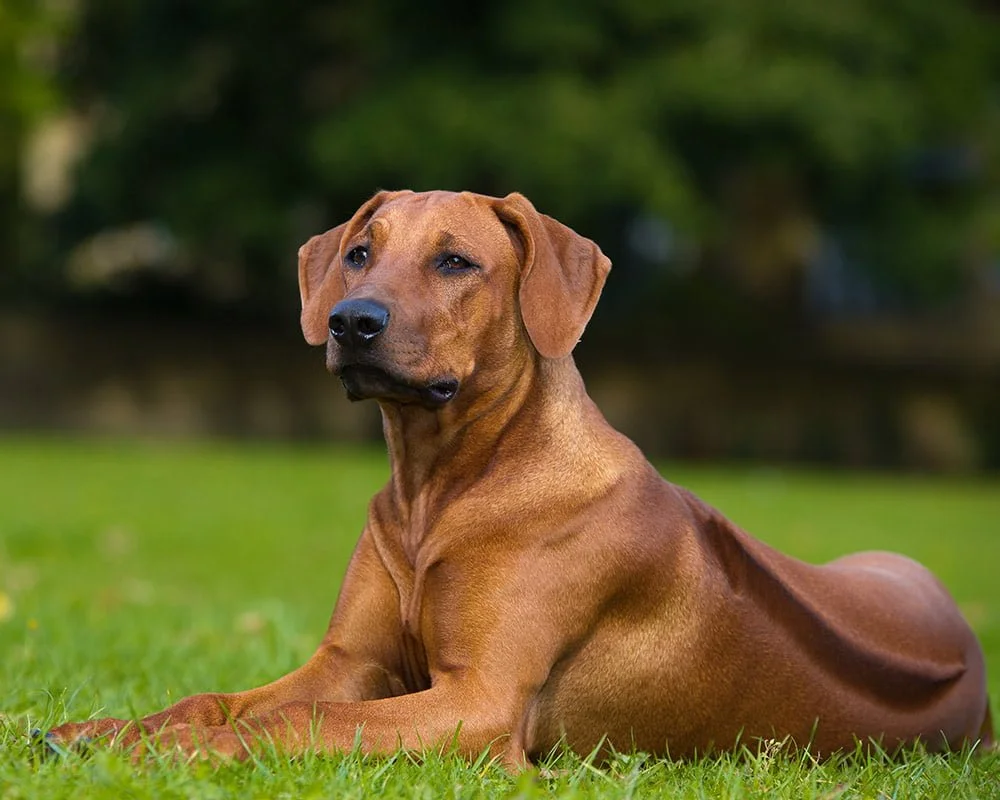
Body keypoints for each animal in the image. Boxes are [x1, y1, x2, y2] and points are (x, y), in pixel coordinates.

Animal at [52, 191, 992, 764]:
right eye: (357, 254)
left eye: (456, 262)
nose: (353, 321)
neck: (439, 489)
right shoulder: (350, 659)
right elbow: (220, 697)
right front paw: (114, 727)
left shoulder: (480, 701)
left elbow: (305, 718)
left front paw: (168, 752)